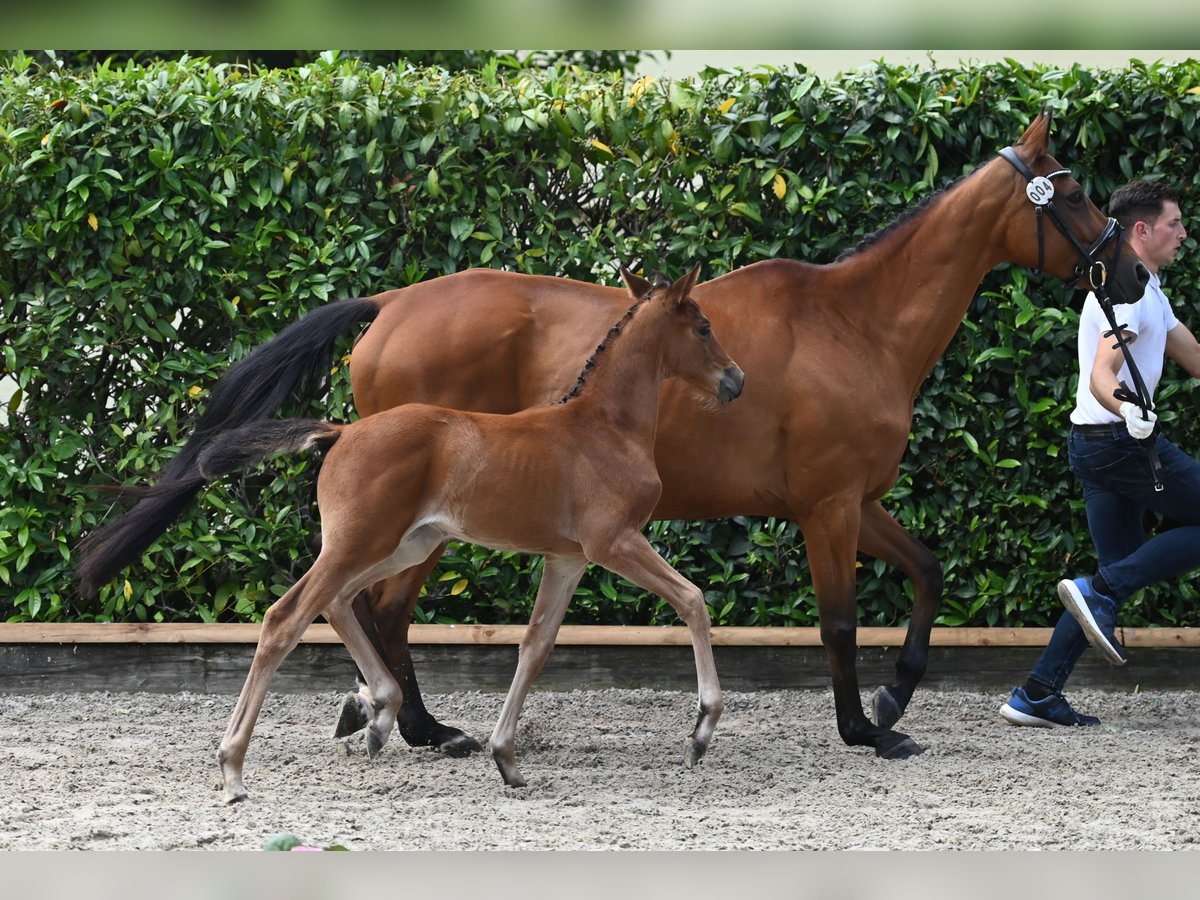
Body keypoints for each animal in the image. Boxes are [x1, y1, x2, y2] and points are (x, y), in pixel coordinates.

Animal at [187, 267, 739, 801]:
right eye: (704, 327)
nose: (736, 380)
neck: (606, 427)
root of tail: (341, 432)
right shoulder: (614, 542)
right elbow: (692, 599)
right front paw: (700, 732)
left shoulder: (568, 558)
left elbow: (536, 645)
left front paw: (506, 760)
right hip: (360, 542)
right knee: (287, 617)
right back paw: (233, 770)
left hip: (405, 545)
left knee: (338, 601)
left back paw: (380, 714)